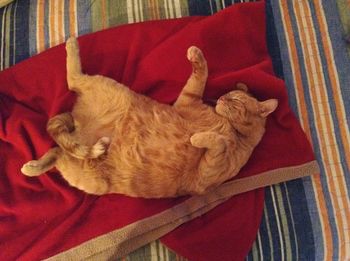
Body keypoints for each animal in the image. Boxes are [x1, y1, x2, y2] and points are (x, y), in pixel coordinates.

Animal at [21, 37, 278, 197]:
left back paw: (32, 167)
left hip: (89, 177)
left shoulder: (206, 174)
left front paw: (198, 138)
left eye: (235, 100)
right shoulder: (188, 99)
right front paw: (196, 55)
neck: (231, 130)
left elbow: (218, 143)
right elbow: (201, 74)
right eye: (228, 94)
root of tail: (79, 126)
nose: (222, 98)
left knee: (59, 148)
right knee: (71, 88)